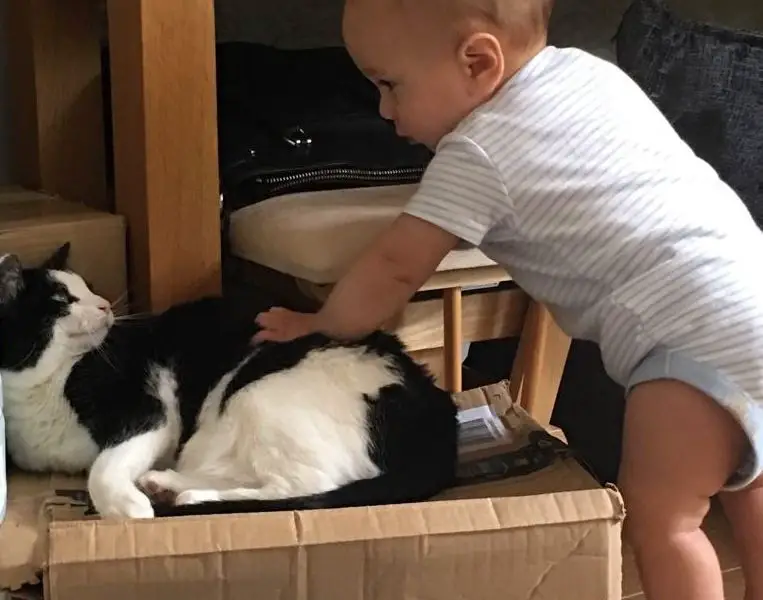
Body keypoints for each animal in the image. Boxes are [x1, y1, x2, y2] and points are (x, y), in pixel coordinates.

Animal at [0, 246, 460, 516]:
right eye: (63, 300)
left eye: (89, 288)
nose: (104, 306)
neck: (37, 387)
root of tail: (440, 412)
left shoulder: (149, 413)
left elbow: (102, 468)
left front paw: (127, 509)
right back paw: (165, 485)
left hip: (257, 397)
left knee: (300, 487)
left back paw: (180, 496)